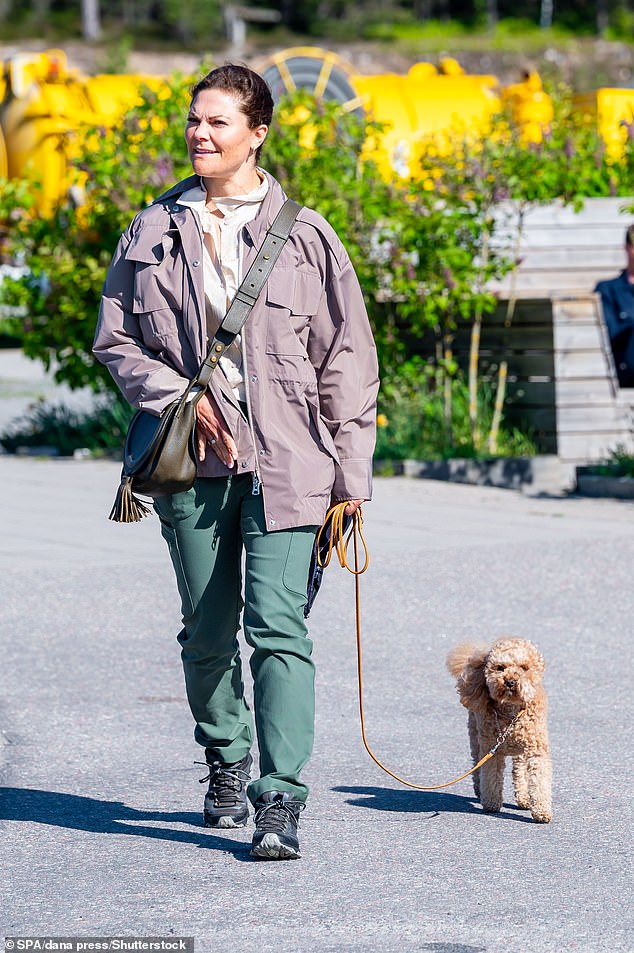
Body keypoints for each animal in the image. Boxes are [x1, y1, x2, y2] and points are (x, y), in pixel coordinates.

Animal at [446, 636, 552, 820]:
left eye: (524, 668)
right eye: (500, 667)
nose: (510, 681)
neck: (510, 713)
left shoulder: (536, 750)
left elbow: (539, 780)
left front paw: (542, 811)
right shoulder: (491, 749)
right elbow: (491, 777)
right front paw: (491, 803)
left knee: (519, 769)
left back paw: (523, 797)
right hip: (475, 735)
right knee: (477, 762)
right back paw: (479, 789)